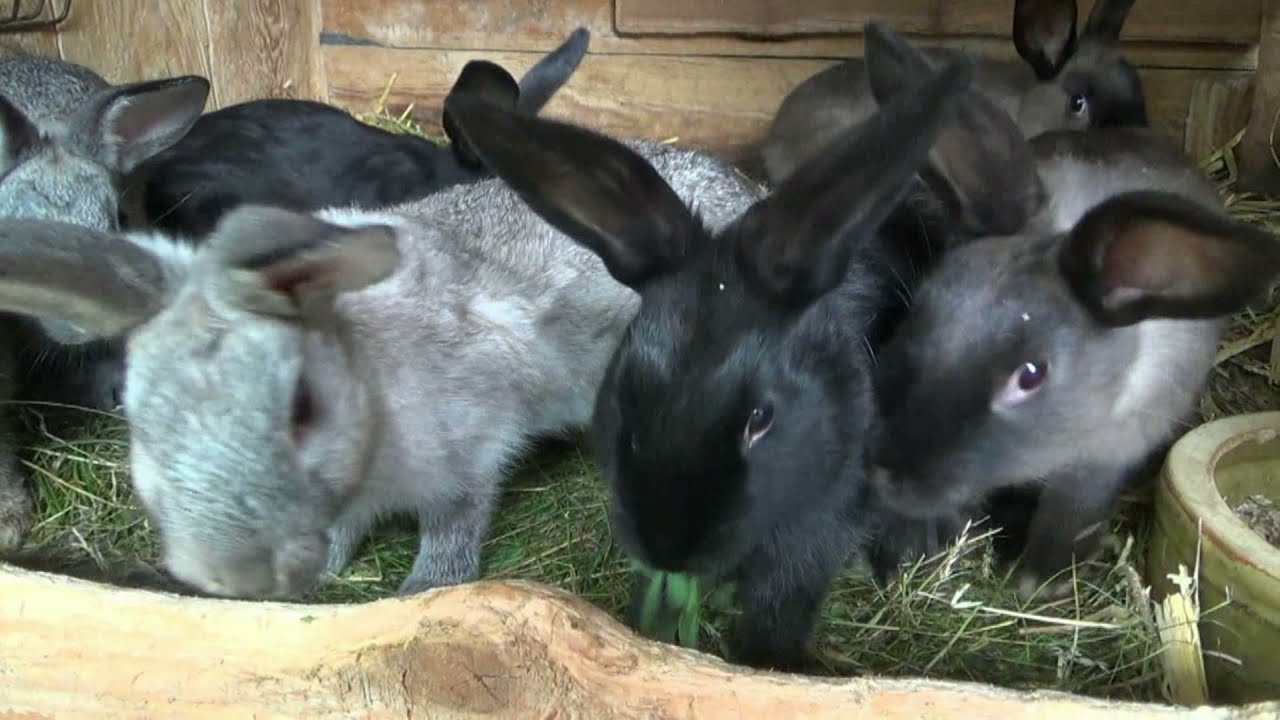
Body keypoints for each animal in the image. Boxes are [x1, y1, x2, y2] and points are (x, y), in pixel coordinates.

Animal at [0, 124, 763, 600]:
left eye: (300, 408)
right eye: (142, 418)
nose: (225, 573)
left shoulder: (470, 454)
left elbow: (455, 521)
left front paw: (424, 588)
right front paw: (327, 572)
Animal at [442, 54, 979, 670]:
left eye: (760, 419)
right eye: (623, 389)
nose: (668, 546)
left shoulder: (817, 526)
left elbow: (782, 601)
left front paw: (769, 660)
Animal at [858, 23, 1280, 601]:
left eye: (1031, 375)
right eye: (918, 313)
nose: (885, 474)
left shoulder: (1102, 459)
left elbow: (1070, 515)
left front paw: (1041, 582)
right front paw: (912, 547)